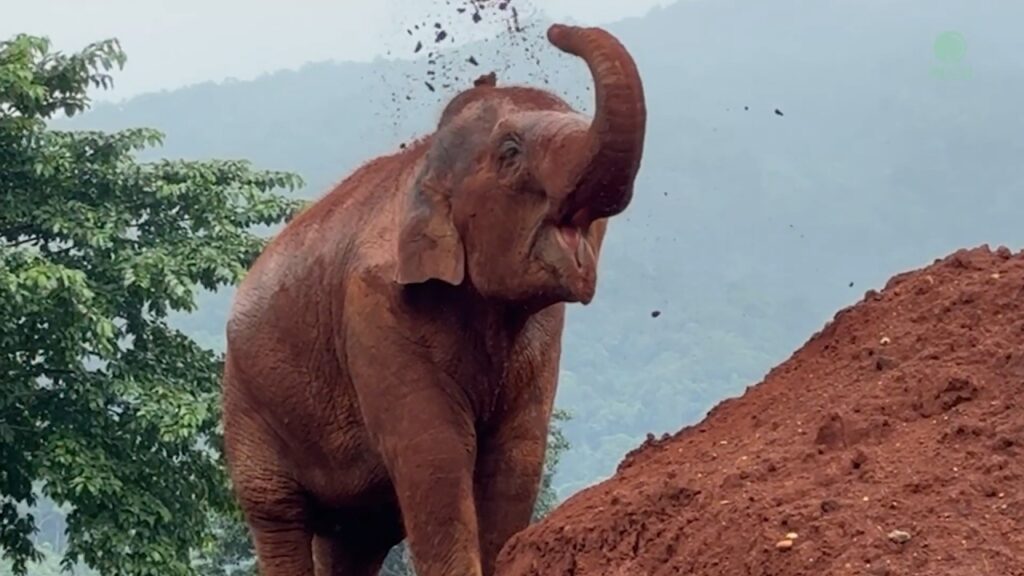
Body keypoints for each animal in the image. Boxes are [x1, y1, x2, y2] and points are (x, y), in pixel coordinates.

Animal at [220, 23, 646, 576]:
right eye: (511, 152)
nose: (556, 30)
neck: (422, 162)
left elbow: (516, 454)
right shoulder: (373, 310)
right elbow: (435, 452)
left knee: (355, 536)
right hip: (247, 406)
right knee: (278, 514)